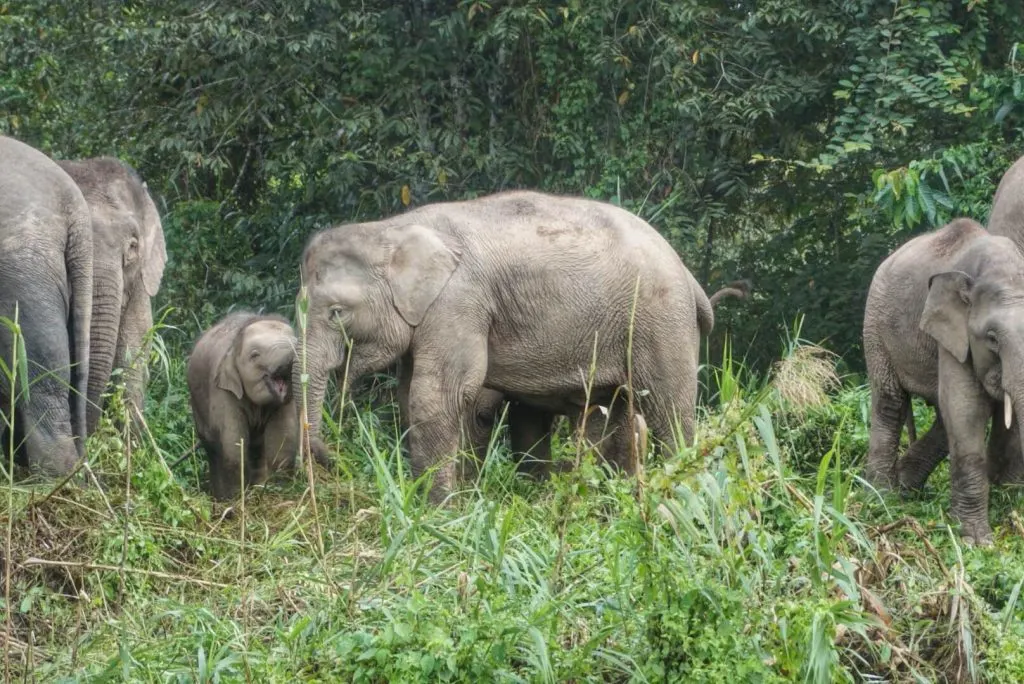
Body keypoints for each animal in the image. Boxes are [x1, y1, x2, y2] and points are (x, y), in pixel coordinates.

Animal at [186, 313, 317, 499]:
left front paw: (275, 492)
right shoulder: (223, 391)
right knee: (213, 448)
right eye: (254, 355)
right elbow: (232, 449)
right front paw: (233, 500)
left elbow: (282, 445)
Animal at [294, 187, 729, 501]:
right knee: (614, 409)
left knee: (667, 408)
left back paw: (677, 487)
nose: (337, 459)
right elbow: (413, 395)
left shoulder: (459, 301)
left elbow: (438, 395)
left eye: (337, 313)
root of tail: (688, 276)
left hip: (662, 321)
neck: (391, 228)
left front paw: (435, 510)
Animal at [864, 218, 1024, 544]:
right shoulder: (951, 334)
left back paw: (905, 485)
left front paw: (1009, 508)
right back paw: (882, 499)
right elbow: (966, 410)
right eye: (992, 338)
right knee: (890, 404)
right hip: (874, 326)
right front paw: (977, 541)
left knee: (940, 419)